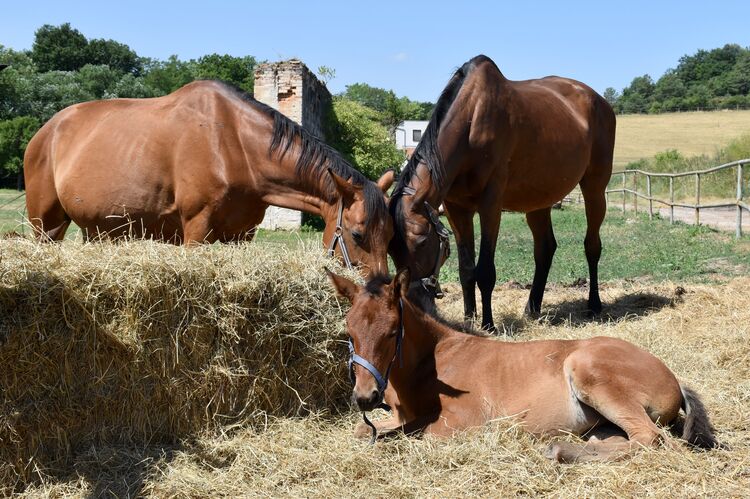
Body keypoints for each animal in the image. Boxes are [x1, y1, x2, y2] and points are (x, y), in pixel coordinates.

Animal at [25, 82, 394, 278]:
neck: (234, 145)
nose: (380, 289)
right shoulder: (196, 230)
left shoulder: (241, 236)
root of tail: (47, 130)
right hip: (46, 226)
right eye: (357, 234)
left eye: (390, 236)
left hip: (94, 229)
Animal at [326, 270, 720, 464]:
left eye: (393, 332)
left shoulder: (458, 424)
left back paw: (560, 451)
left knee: (650, 438)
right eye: (349, 330)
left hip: (588, 370)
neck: (432, 364)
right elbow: (366, 431)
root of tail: (674, 377)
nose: (365, 397)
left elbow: (409, 435)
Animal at [388, 54, 616, 330]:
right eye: (391, 248)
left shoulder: (490, 206)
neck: (472, 120)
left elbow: (485, 271)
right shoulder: (456, 209)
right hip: (537, 201)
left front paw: (488, 324)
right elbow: (467, 270)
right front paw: (469, 320)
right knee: (545, 249)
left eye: (421, 241)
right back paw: (532, 307)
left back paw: (594, 305)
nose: (412, 302)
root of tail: (599, 100)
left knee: (592, 246)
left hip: (594, 188)